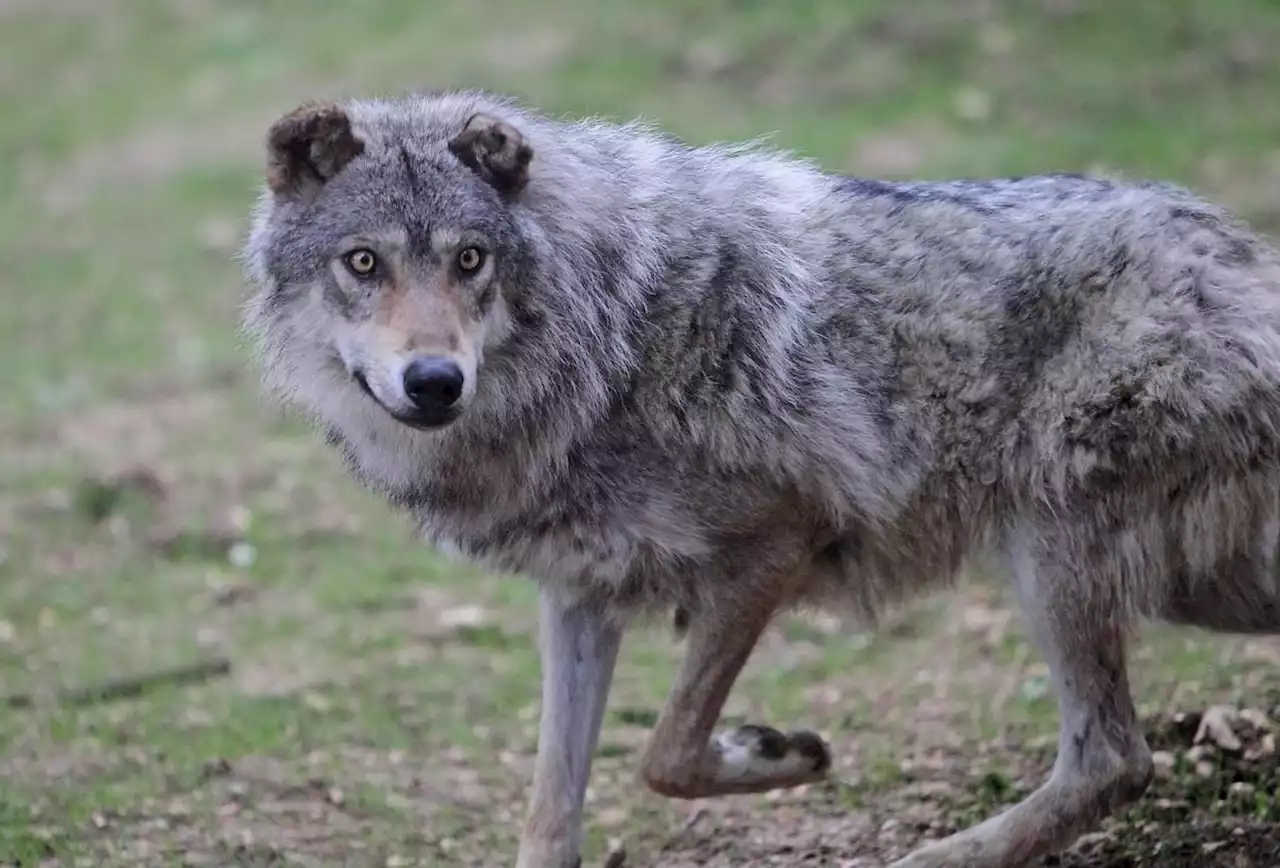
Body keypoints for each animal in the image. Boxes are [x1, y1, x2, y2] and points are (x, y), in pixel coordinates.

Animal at [238, 90, 1280, 868]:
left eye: (469, 260)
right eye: (363, 262)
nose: (434, 381)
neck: (596, 341)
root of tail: (1242, 258)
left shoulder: (769, 551)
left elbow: (666, 753)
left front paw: (772, 750)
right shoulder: (579, 597)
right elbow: (549, 813)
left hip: (1057, 561)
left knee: (1113, 760)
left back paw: (944, 857)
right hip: (1194, 582)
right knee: (1120, 755)